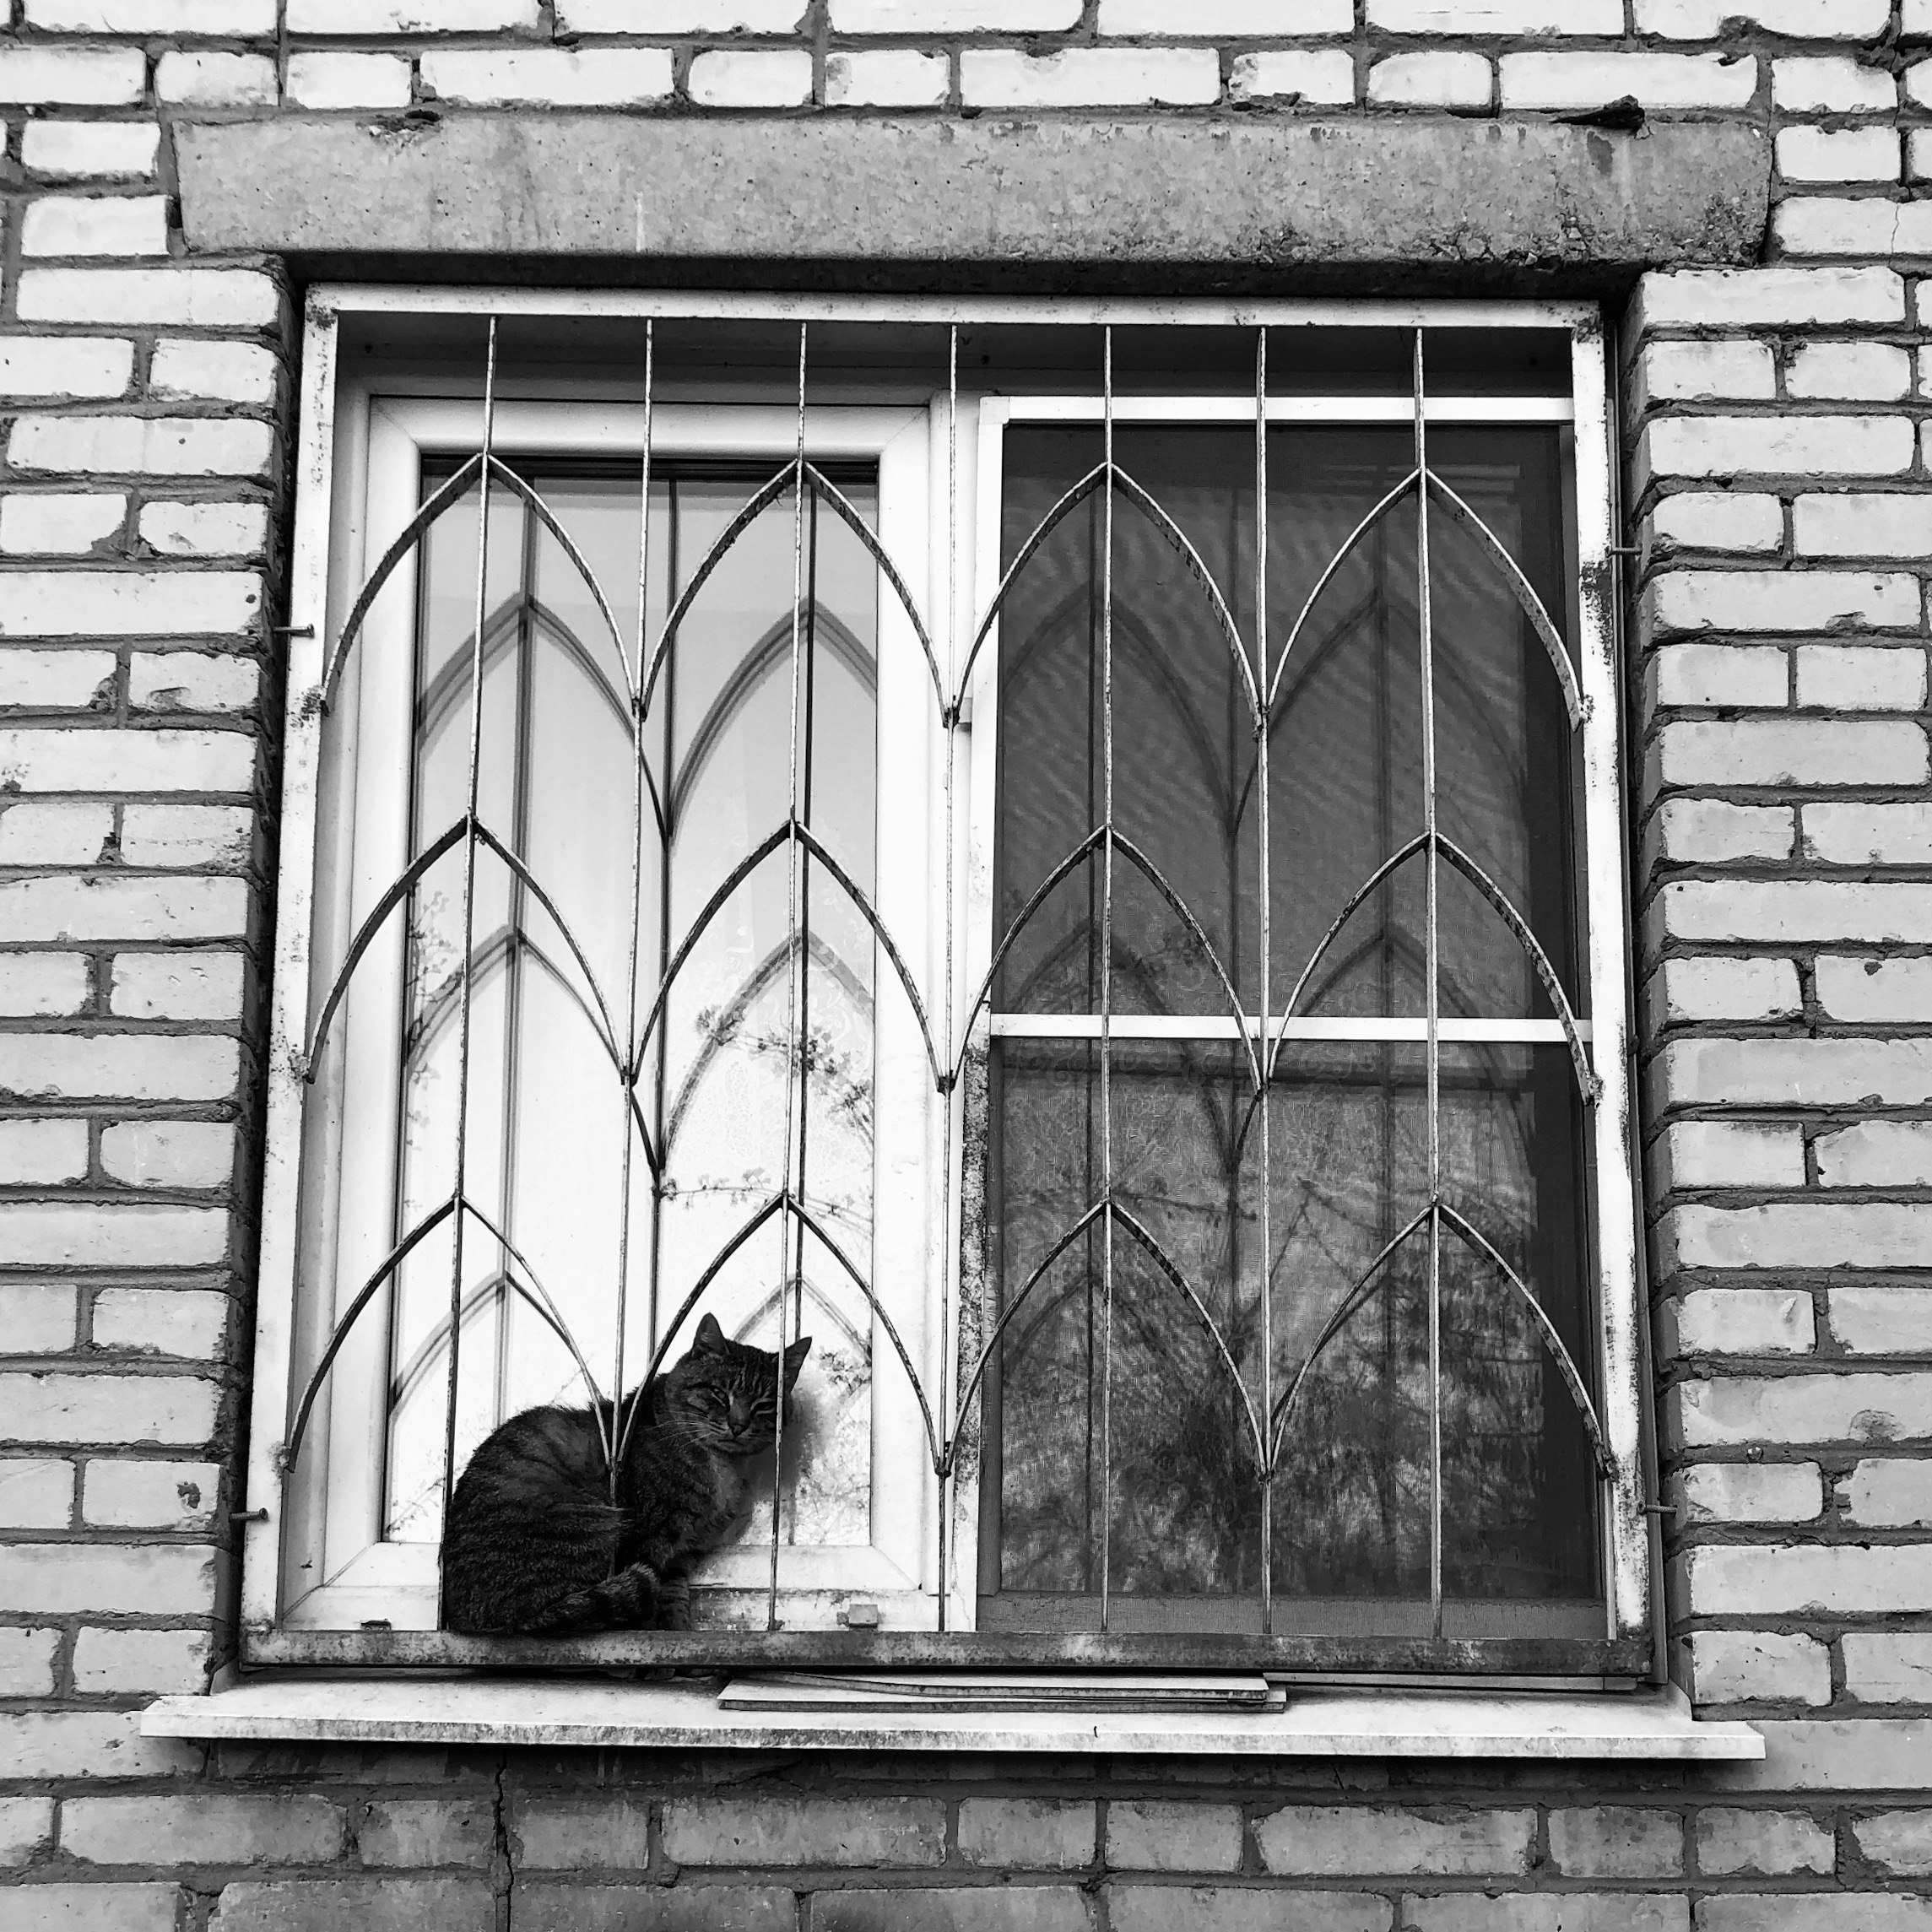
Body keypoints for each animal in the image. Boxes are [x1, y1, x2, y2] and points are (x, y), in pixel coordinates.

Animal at [442, 1313, 811, 1630]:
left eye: (765, 1405)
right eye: (719, 1393)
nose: (738, 1426)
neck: (722, 1466)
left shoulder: (680, 1556)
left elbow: (674, 1602)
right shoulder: (647, 1541)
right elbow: (645, 1612)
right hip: (591, 1522)